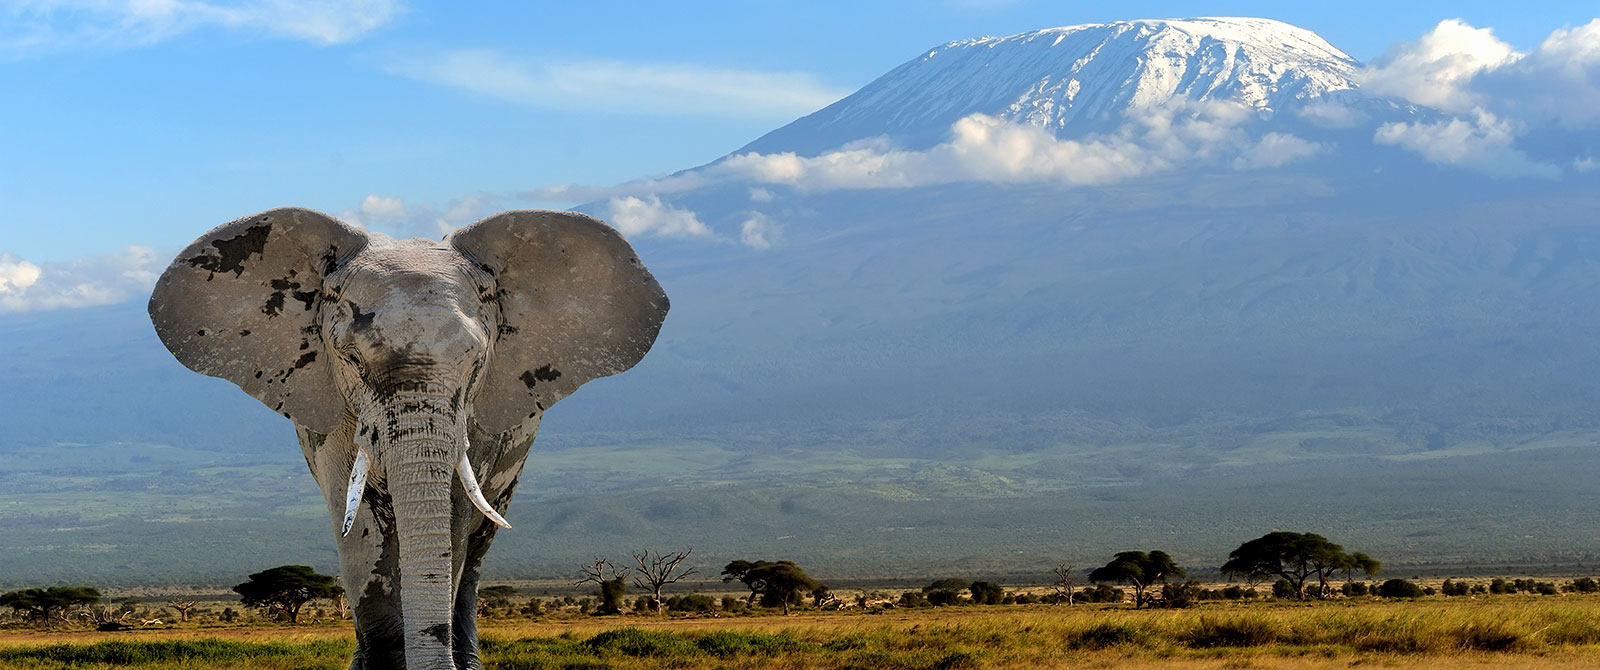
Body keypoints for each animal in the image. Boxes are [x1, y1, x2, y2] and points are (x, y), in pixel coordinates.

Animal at [150, 207, 668, 668]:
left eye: (476, 360)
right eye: (350, 359)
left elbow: (455, 521)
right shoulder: (336, 422)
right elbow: (357, 526)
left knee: (476, 554)